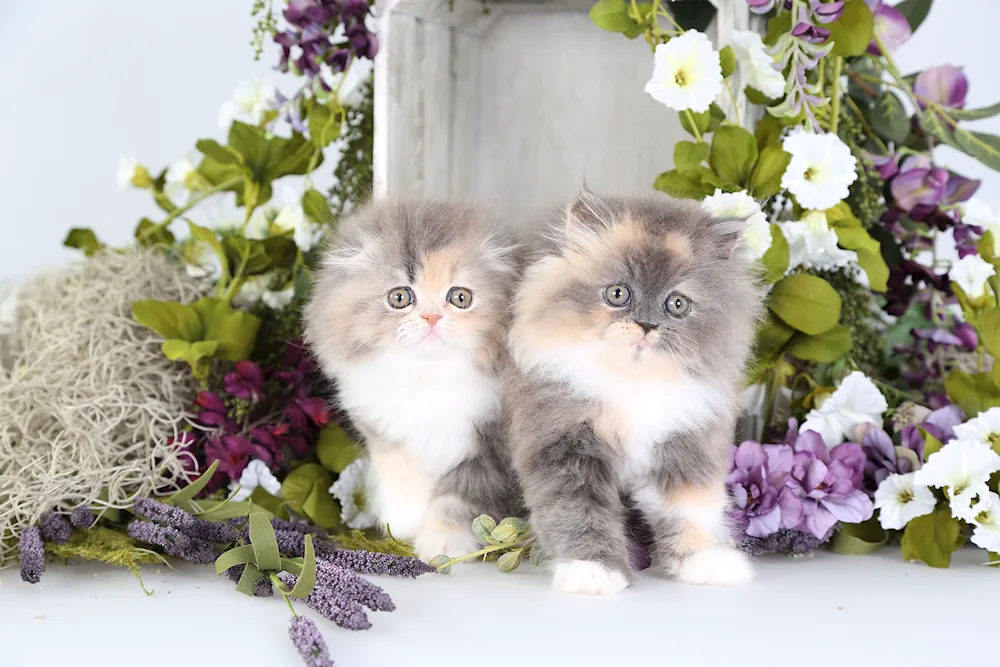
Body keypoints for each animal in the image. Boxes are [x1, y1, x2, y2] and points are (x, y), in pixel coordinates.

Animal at [302, 201, 524, 560]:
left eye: (460, 297)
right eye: (400, 297)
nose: (431, 318)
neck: (427, 377)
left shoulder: (487, 451)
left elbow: (457, 498)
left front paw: (443, 542)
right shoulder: (386, 436)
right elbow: (403, 481)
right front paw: (402, 526)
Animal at [508, 189, 764, 596]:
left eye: (677, 304)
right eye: (618, 294)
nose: (646, 325)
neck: (635, 382)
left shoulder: (685, 447)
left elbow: (692, 510)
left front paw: (706, 562)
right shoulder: (565, 445)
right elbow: (579, 513)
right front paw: (593, 571)